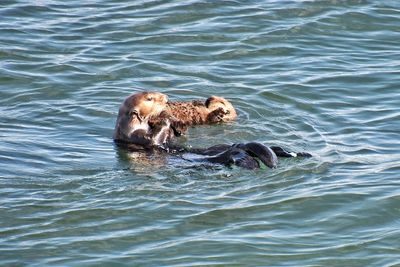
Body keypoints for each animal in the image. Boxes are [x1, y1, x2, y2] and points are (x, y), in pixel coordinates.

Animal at [113, 92, 312, 170]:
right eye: (150, 98)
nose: (165, 97)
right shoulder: (135, 136)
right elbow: (153, 139)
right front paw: (165, 119)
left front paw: (175, 126)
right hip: (222, 156)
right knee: (234, 156)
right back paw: (249, 162)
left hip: (223, 145)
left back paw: (298, 153)